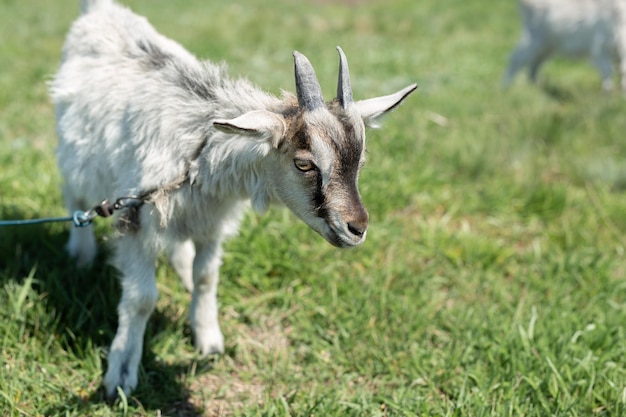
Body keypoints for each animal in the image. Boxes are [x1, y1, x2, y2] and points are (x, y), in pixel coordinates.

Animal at [51, 0, 416, 398]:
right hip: (74, 155)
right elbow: (142, 298)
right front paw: (120, 375)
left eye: (360, 162)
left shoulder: (212, 220)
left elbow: (207, 277)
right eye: (304, 163)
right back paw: (81, 254)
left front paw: (209, 340)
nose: (357, 228)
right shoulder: (137, 217)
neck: (197, 152)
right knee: (73, 195)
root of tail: (99, 9)